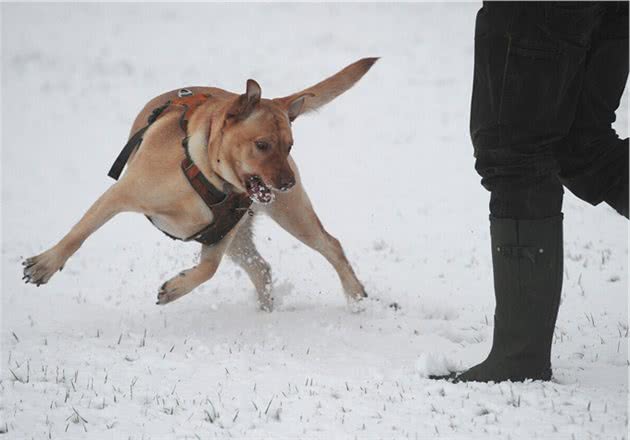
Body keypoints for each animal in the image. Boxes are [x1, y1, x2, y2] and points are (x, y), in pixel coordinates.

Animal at [23, 58, 380, 312]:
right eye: (262, 145)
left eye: (289, 146)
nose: (287, 184)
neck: (206, 173)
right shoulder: (120, 194)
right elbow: (78, 234)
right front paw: (45, 265)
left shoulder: (220, 232)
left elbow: (208, 268)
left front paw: (174, 288)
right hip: (255, 230)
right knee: (263, 269)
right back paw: (267, 311)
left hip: (290, 215)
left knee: (329, 245)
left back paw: (355, 297)